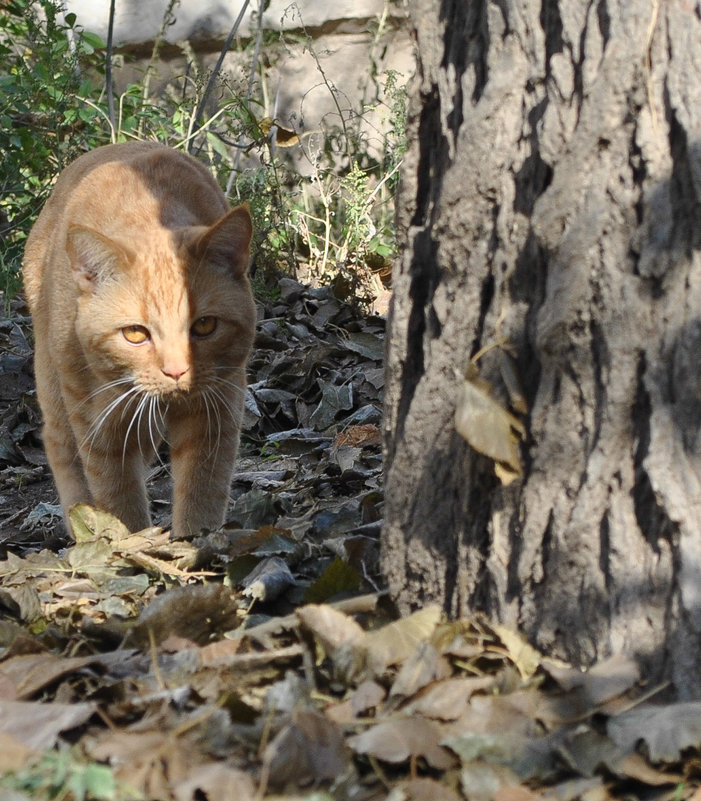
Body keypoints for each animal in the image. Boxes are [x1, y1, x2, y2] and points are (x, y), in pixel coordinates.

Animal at [23, 144, 256, 536]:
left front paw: (196, 542)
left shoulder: (215, 409)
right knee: (58, 445)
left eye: (205, 325)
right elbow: (118, 500)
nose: (177, 371)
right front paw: (126, 544)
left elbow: (202, 488)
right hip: (56, 386)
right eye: (135, 334)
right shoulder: (100, 425)